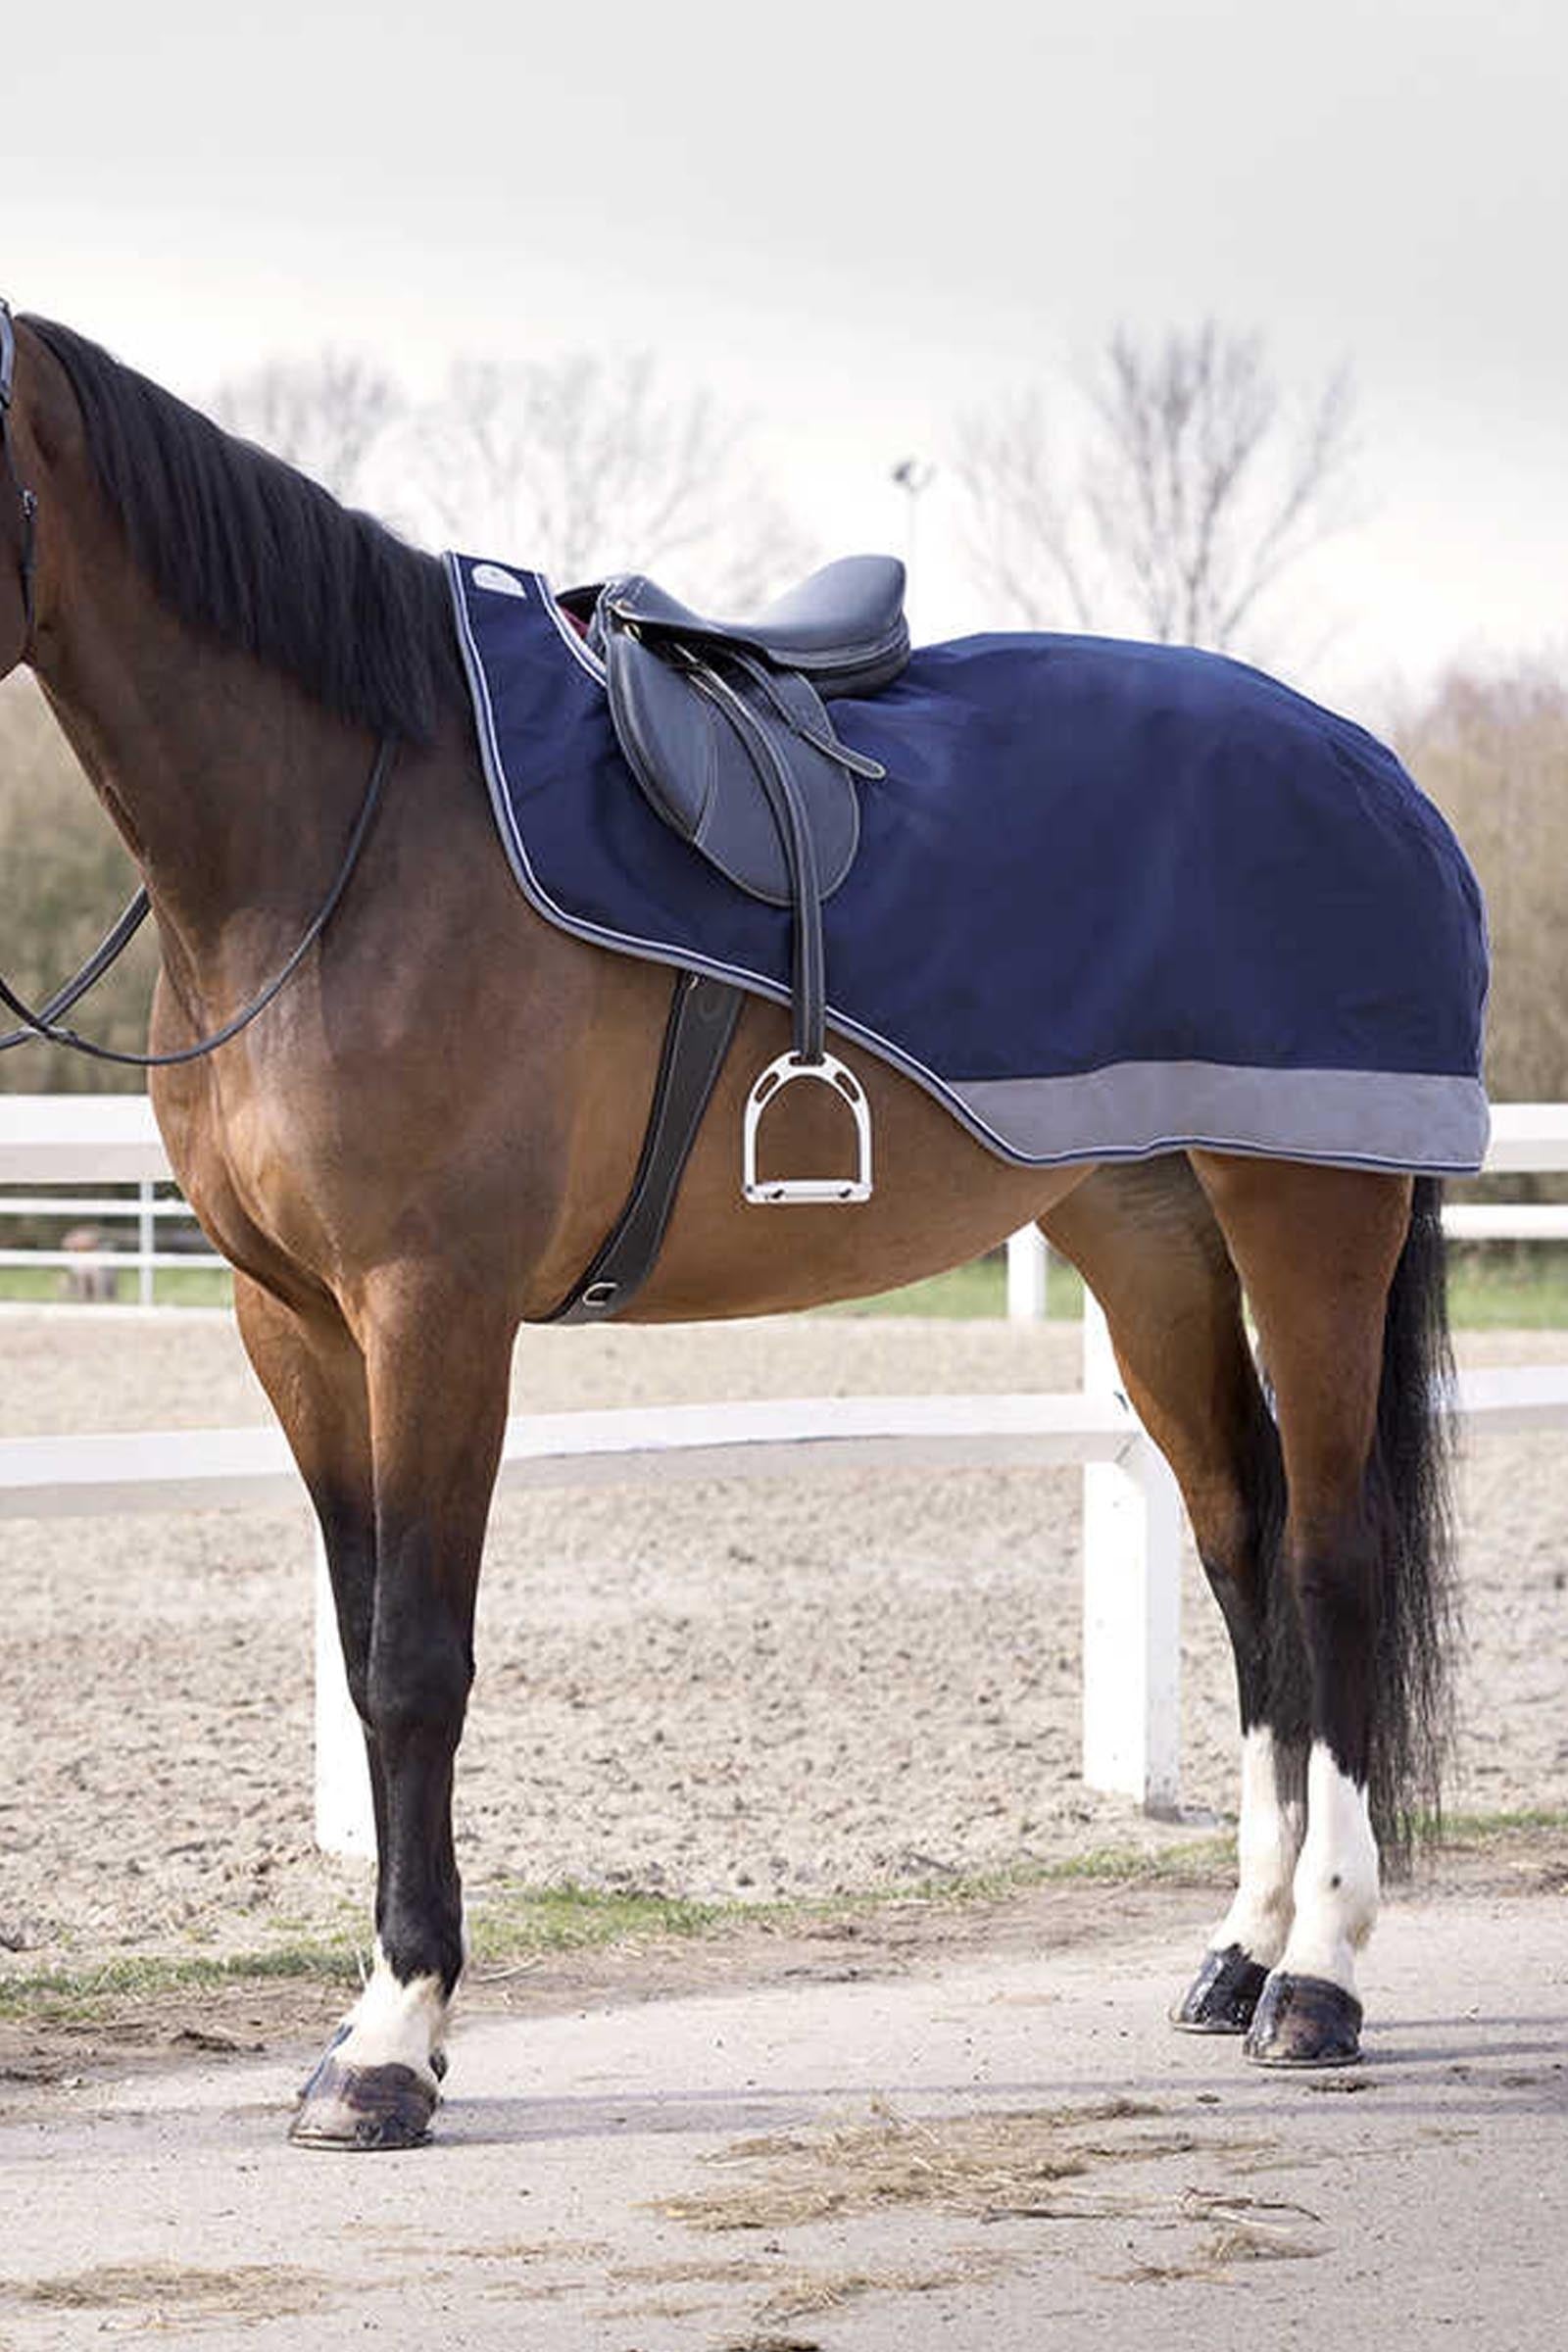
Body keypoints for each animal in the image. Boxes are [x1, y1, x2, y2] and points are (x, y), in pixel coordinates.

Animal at [0, 305, 1479, 2150]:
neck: (337, 834)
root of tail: (1370, 766)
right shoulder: (295, 1320)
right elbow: (358, 1649)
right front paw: (376, 2019)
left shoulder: (432, 1309)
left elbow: (415, 1663)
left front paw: (393, 2043)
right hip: (1149, 1243)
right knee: (1244, 1551)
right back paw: (1239, 1949)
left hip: (1309, 1211)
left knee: (1339, 1556)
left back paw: (1321, 1979)